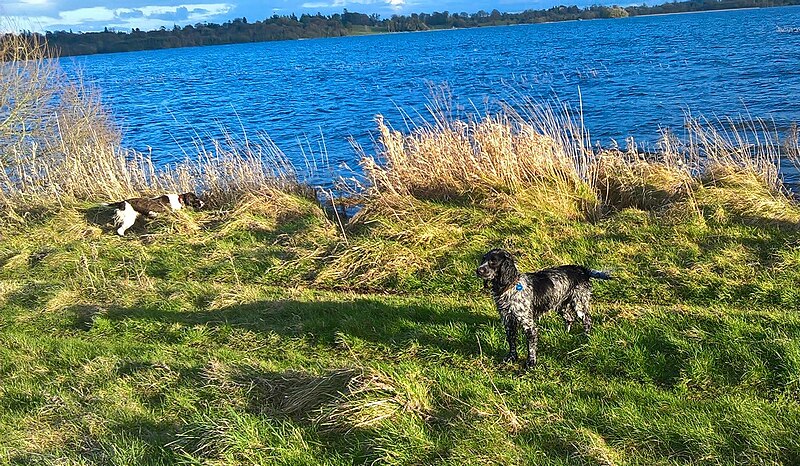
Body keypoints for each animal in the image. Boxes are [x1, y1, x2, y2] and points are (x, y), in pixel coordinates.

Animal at [476, 249, 612, 370]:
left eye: (493, 261)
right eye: (483, 259)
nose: (478, 270)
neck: (509, 286)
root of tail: (581, 269)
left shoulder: (529, 325)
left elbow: (530, 347)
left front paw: (531, 364)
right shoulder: (508, 321)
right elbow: (511, 342)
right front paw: (511, 358)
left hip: (579, 304)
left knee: (587, 320)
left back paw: (586, 339)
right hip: (561, 306)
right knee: (570, 319)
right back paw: (565, 334)